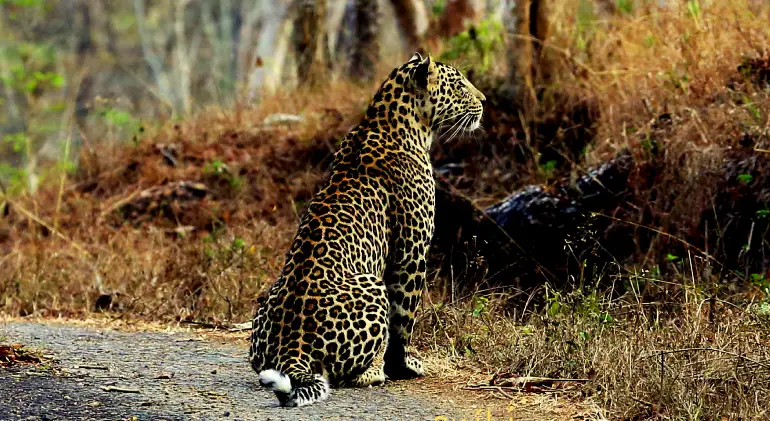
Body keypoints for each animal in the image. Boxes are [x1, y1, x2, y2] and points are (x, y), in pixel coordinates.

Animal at [249, 50, 484, 406]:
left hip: (264, 313)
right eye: (458, 85)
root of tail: (293, 347)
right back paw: (373, 372)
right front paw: (404, 366)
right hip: (373, 286)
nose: (484, 101)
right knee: (341, 373)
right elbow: (404, 320)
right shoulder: (410, 255)